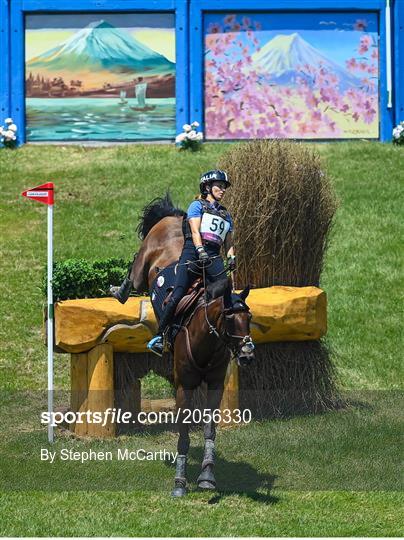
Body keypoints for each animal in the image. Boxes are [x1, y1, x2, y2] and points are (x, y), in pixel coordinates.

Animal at [112, 195, 254, 498]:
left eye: (249, 318)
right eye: (229, 317)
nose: (248, 354)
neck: (206, 340)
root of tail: (174, 217)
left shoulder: (214, 384)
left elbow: (210, 430)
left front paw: (207, 476)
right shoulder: (183, 386)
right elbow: (184, 435)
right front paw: (179, 482)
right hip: (143, 265)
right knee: (134, 271)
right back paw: (118, 291)